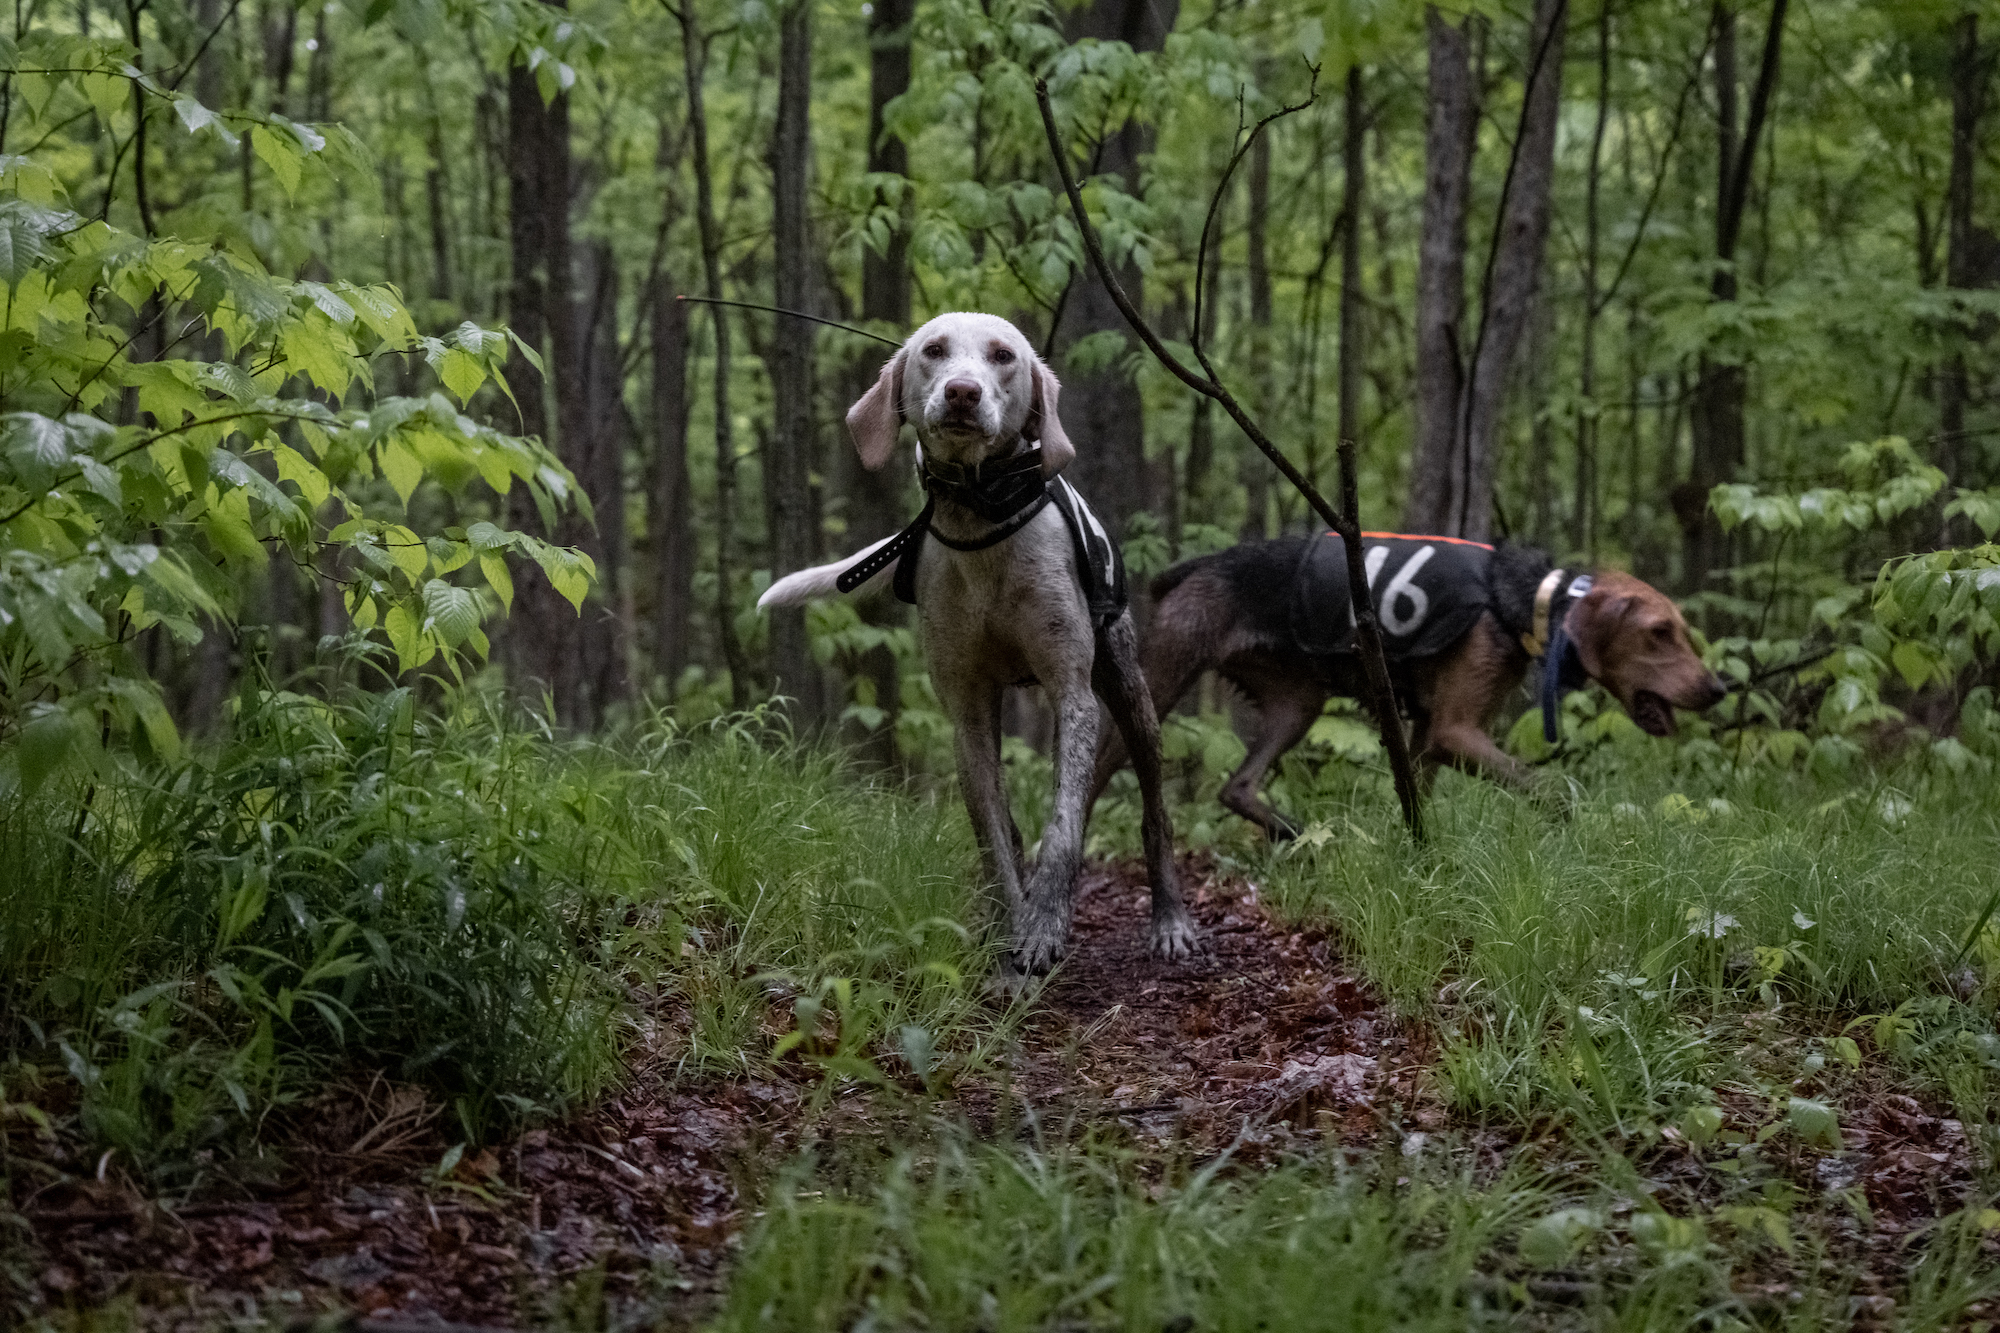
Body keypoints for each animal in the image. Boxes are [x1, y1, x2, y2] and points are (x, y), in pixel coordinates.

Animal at [752, 314, 1184, 976]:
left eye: (1004, 356)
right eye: (933, 351)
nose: (962, 392)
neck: (980, 517)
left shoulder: (1072, 694)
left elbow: (1063, 827)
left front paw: (1044, 923)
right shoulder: (969, 711)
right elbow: (993, 840)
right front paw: (1009, 930)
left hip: (1132, 697)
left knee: (1154, 814)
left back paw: (1170, 919)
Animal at [1088, 528, 1728, 832]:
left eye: (1680, 629)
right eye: (1659, 632)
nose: (1718, 690)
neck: (1526, 601)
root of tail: (1192, 569)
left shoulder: (1426, 738)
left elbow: (1417, 800)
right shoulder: (1454, 731)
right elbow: (1550, 787)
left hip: (1299, 702)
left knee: (1236, 787)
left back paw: (1294, 834)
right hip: (1157, 687)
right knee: (1093, 775)